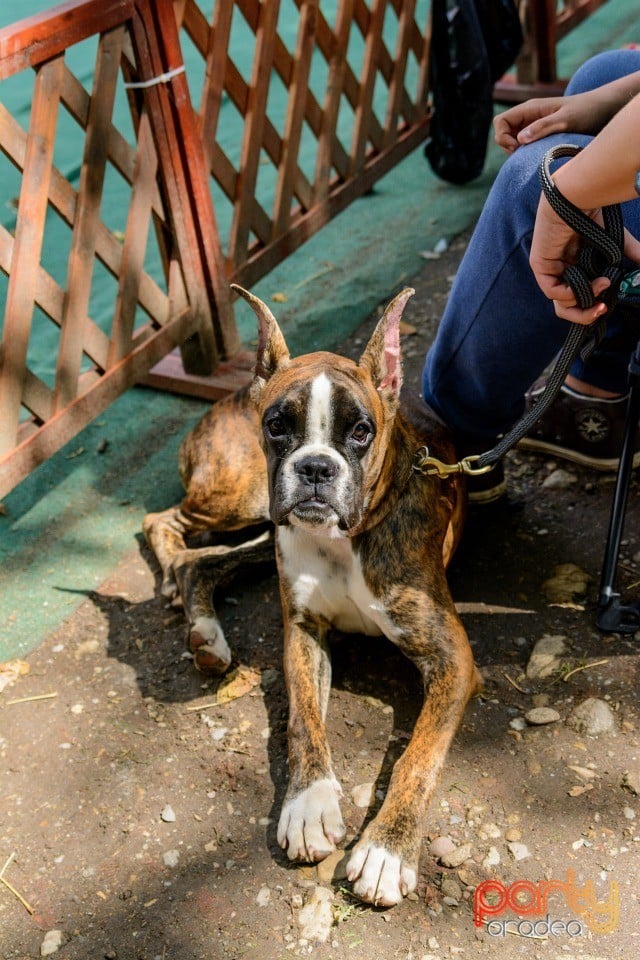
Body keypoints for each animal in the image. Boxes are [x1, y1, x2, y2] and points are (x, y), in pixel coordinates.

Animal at [144, 284, 480, 908]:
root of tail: (228, 396)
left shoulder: (453, 660)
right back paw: (195, 618)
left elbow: (418, 755)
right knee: (164, 524)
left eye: (361, 431)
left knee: (200, 560)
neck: (346, 539)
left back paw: (202, 628)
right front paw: (307, 806)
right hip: (244, 500)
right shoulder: (302, 632)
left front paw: (387, 850)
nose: (317, 468)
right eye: (278, 425)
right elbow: (303, 720)